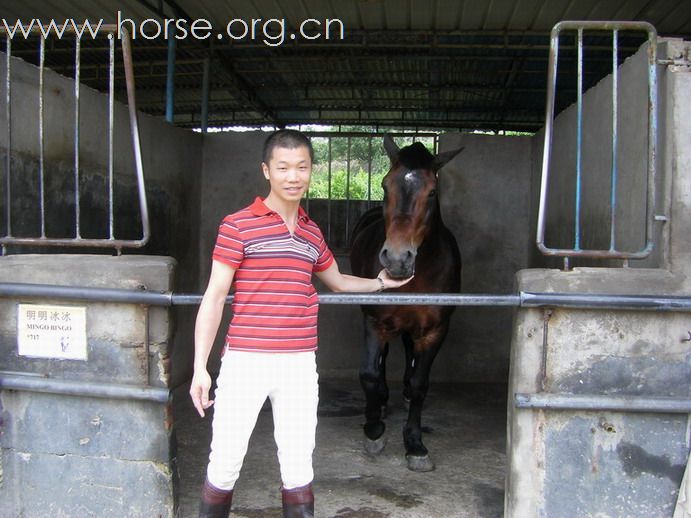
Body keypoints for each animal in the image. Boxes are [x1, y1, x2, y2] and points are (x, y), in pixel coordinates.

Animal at [352, 135, 464, 476]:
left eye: (432, 192)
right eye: (385, 185)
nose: (398, 260)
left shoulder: (435, 330)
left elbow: (419, 384)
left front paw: (414, 444)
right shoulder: (374, 322)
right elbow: (369, 373)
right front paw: (374, 429)